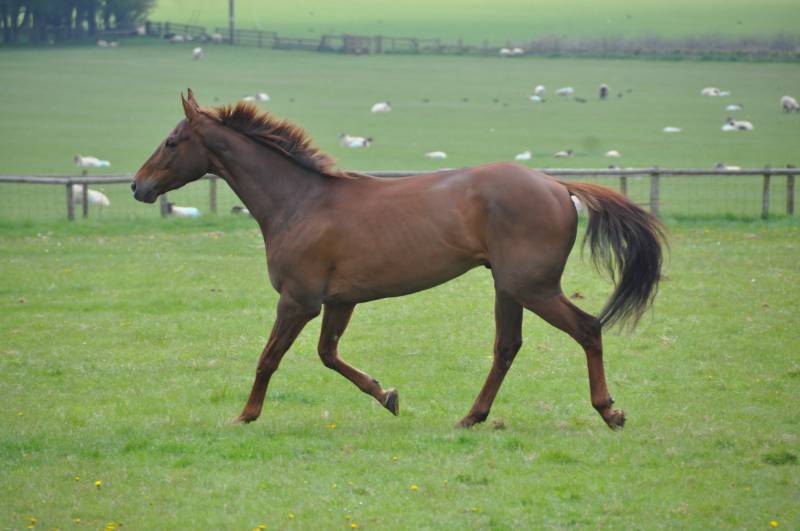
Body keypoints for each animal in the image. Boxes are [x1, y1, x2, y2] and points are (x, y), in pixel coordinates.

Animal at [133, 89, 665, 430]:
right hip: (509, 287)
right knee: (506, 348)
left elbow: (269, 358)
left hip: (533, 287)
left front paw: (244, 415)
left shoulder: (298, 301)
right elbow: (328, 355)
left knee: (587, 329)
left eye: (172, 142)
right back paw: (471, 417)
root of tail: (557, 185)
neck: (301, 202)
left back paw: (609, 412)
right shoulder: (339, 302)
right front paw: (387, 395)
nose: (139, 186)